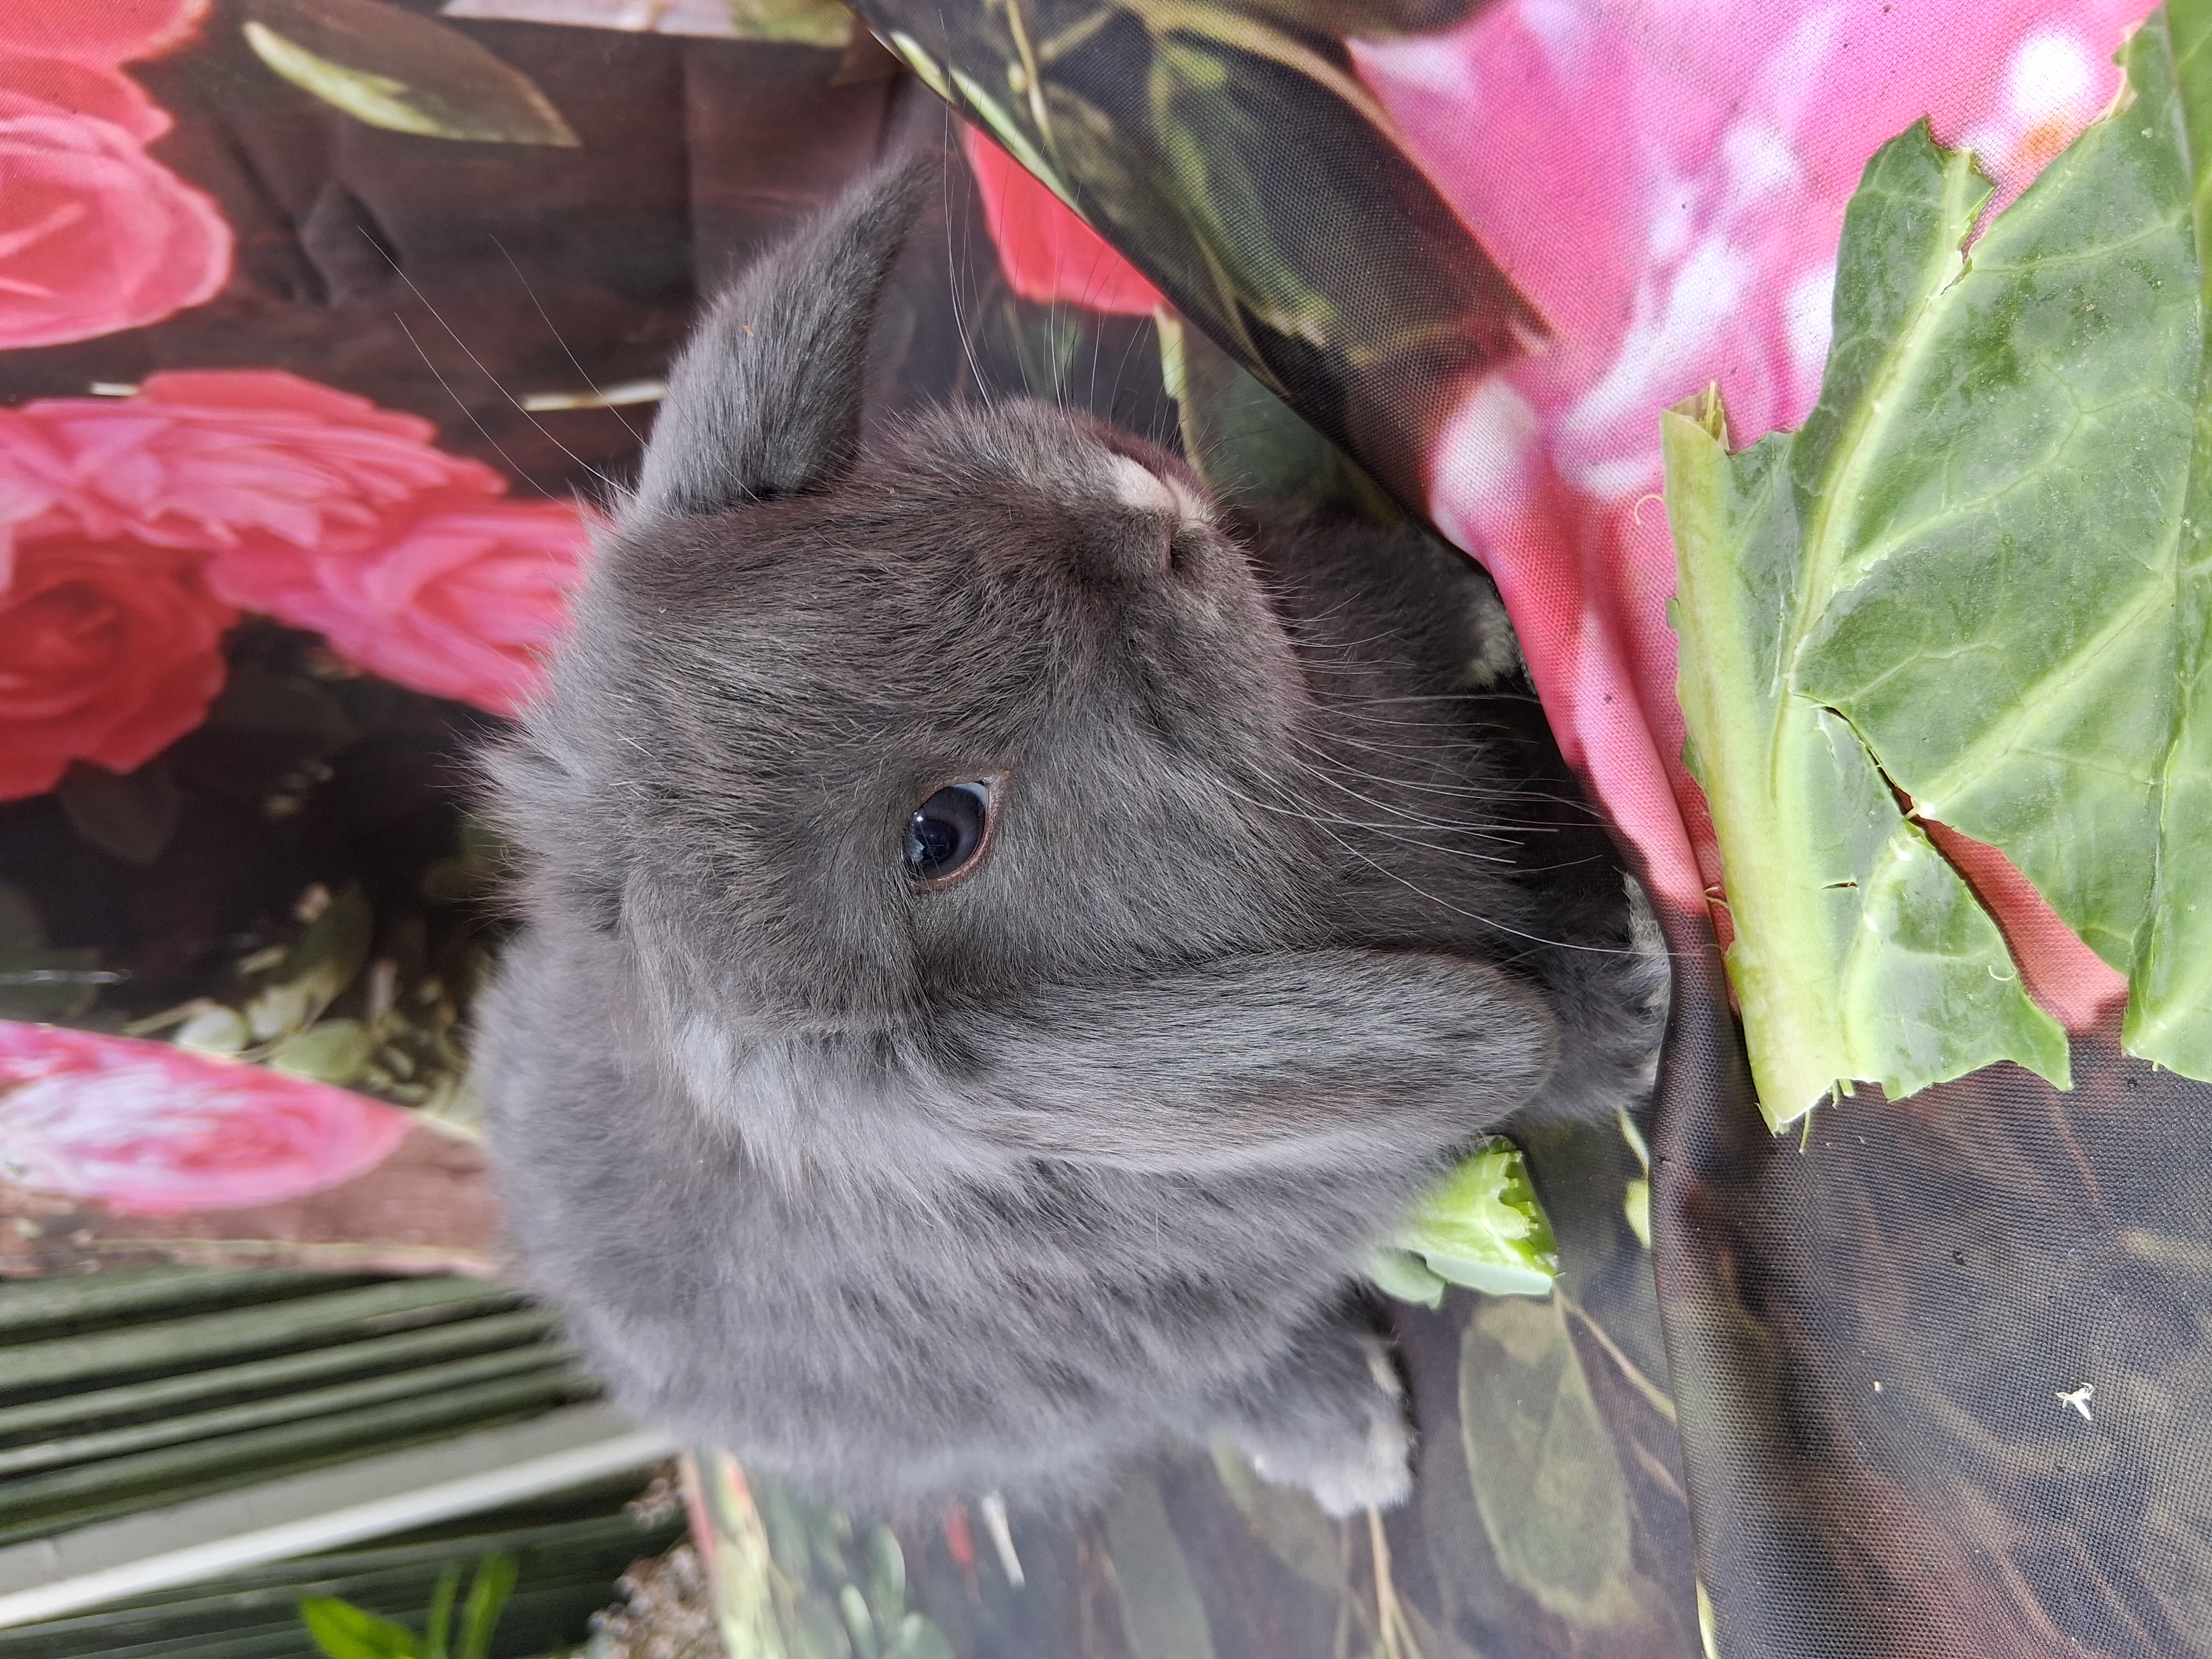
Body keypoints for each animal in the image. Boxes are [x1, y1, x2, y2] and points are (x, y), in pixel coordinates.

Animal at [475, 152, 1668, 1521]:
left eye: (793, 525)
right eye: (939, 833)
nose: (1135, 509)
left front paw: (1483, 616)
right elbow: (1538, 1035)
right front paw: (1643, 994)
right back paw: (1351, 1444)